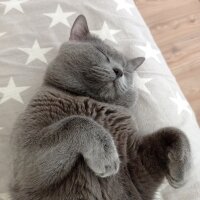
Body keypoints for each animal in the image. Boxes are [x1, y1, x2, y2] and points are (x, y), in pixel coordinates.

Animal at [9, 14, 191, 199]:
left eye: (127, 70)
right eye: (102, 53)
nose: (119, 71)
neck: (95, 101)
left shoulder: (136, 169)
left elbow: (175, 132)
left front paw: (182, 174)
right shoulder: (25, 164)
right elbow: (77, 121)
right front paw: (107, 155)